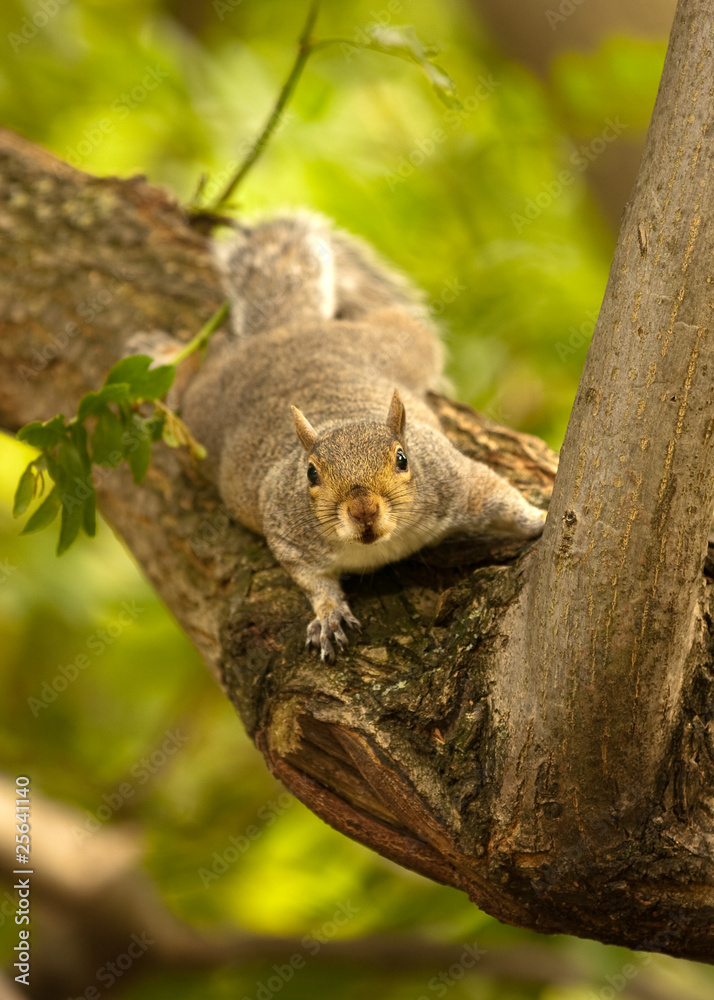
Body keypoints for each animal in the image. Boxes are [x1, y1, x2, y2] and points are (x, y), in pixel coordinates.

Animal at [178, 215, 544, 660]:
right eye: (311, 474)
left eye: (402, 459)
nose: (363, 510)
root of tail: (290, 329)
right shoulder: (287, 531)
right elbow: (311, 579)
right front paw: (329, 614)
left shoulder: (455, 480)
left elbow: (499, 496)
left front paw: (540, 519)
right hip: (200, 412)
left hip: (402, 343)